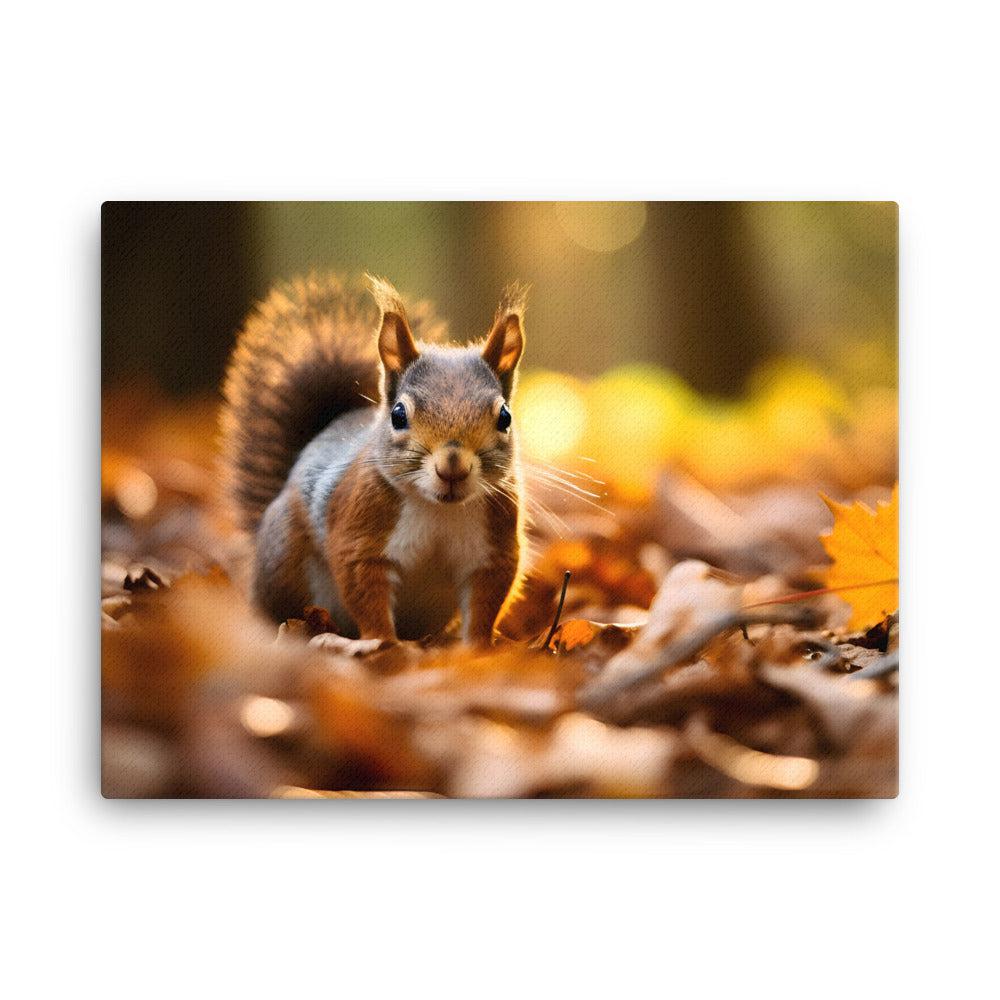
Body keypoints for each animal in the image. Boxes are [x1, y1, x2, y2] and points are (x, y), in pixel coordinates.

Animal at [220, 273, 528, 645]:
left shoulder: (492, 551)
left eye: (505, 417)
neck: (438, 509)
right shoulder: (360, 536)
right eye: (398, 415)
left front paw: (478, 648)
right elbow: (366, 594)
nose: (452, 466)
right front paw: (383, 643)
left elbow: (485, 604)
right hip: (281, 561)